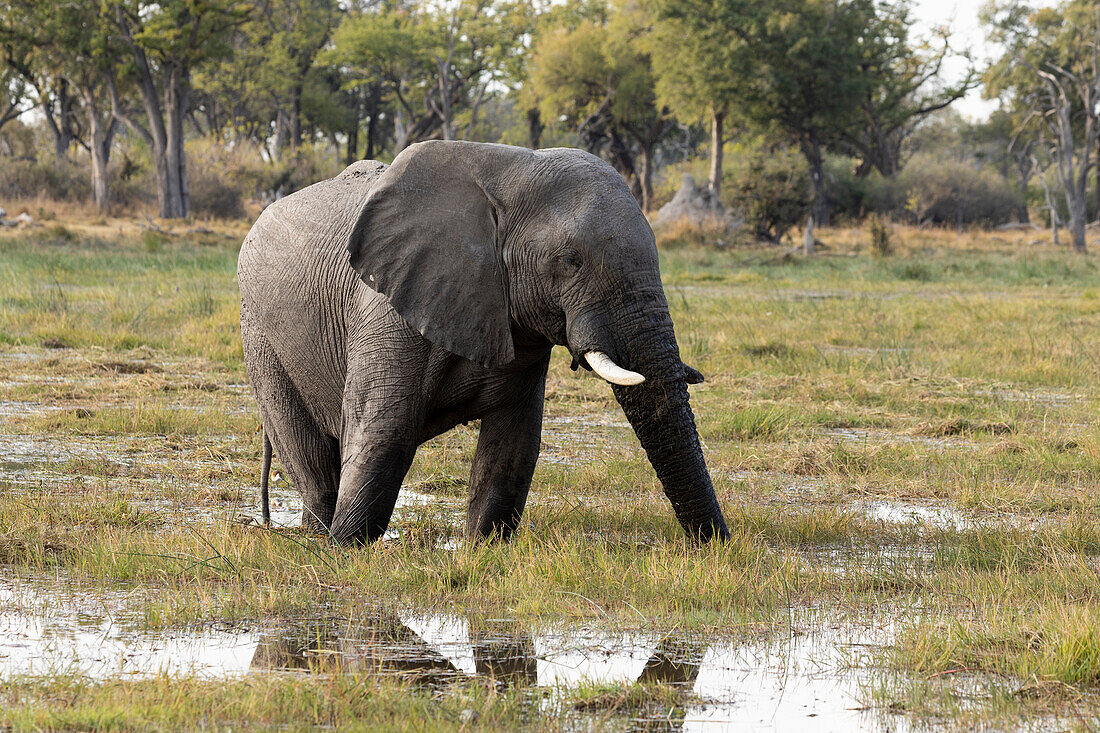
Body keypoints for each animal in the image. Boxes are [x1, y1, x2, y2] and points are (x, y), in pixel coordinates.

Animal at [243, 139, 730, 545]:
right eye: (570, 261)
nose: (716, 545)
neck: (509, 168)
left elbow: (513, 444)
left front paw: (483, 548)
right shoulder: (388, 309)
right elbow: (385, 429)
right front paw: (346, 550)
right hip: (261, 336)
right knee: (309, 460)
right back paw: (316, 537)